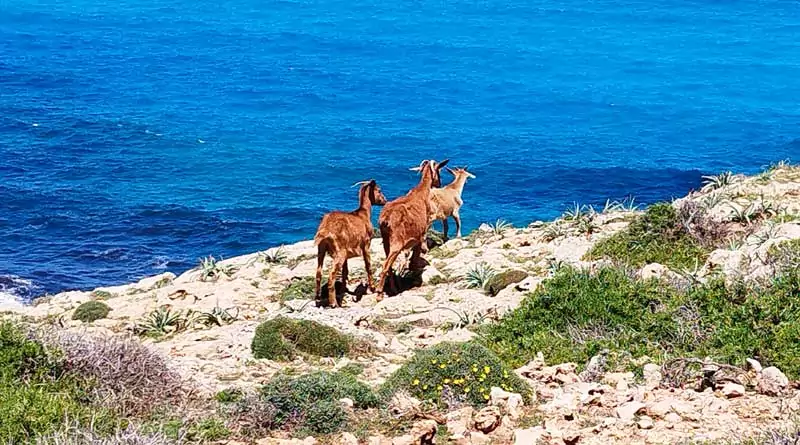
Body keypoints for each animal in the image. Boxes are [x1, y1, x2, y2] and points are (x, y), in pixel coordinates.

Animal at [314, 179, 387, 308]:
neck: (363, 214)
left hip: (321, 249)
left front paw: (344, 290)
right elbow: (368, 266)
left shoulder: (347, 252)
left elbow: (345, 271)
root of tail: (325, 230)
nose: (385, 200)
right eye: (379, 190)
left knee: (318, 273)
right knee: (331, 276)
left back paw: (318, 297)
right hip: (339, 252)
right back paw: (333, 303)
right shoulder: (366, 244)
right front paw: (372, 288)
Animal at [375, 159, 448, 300]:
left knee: (389, 264)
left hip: (386, 240)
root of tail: (385, 219)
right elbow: (415, 259)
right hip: (397, 242)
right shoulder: (420, 235)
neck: (421, 192)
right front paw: (416, 277)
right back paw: (379, 294)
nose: (439, 183)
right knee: (386, 265)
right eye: (439, 171)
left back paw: (393, 288)